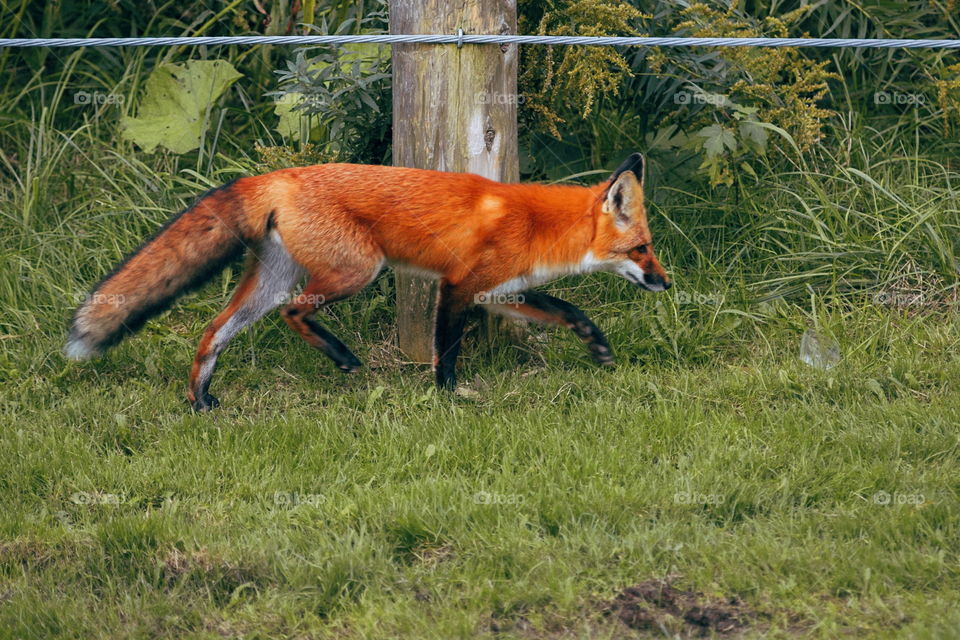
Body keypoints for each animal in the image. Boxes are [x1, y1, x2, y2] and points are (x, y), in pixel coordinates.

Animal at [65, 152, 668, 410]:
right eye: (641, 248)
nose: (664, 283)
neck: (537, 225)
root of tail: (278, 175)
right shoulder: (458, 286)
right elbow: (445, 351)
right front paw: (449, 396)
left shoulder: (498, 292)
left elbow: (567, 310)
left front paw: (596, 345)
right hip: (357, 270)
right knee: (294, 313)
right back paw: (341, 356)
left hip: (273, 281)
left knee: (214, 331)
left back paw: (200, 399)